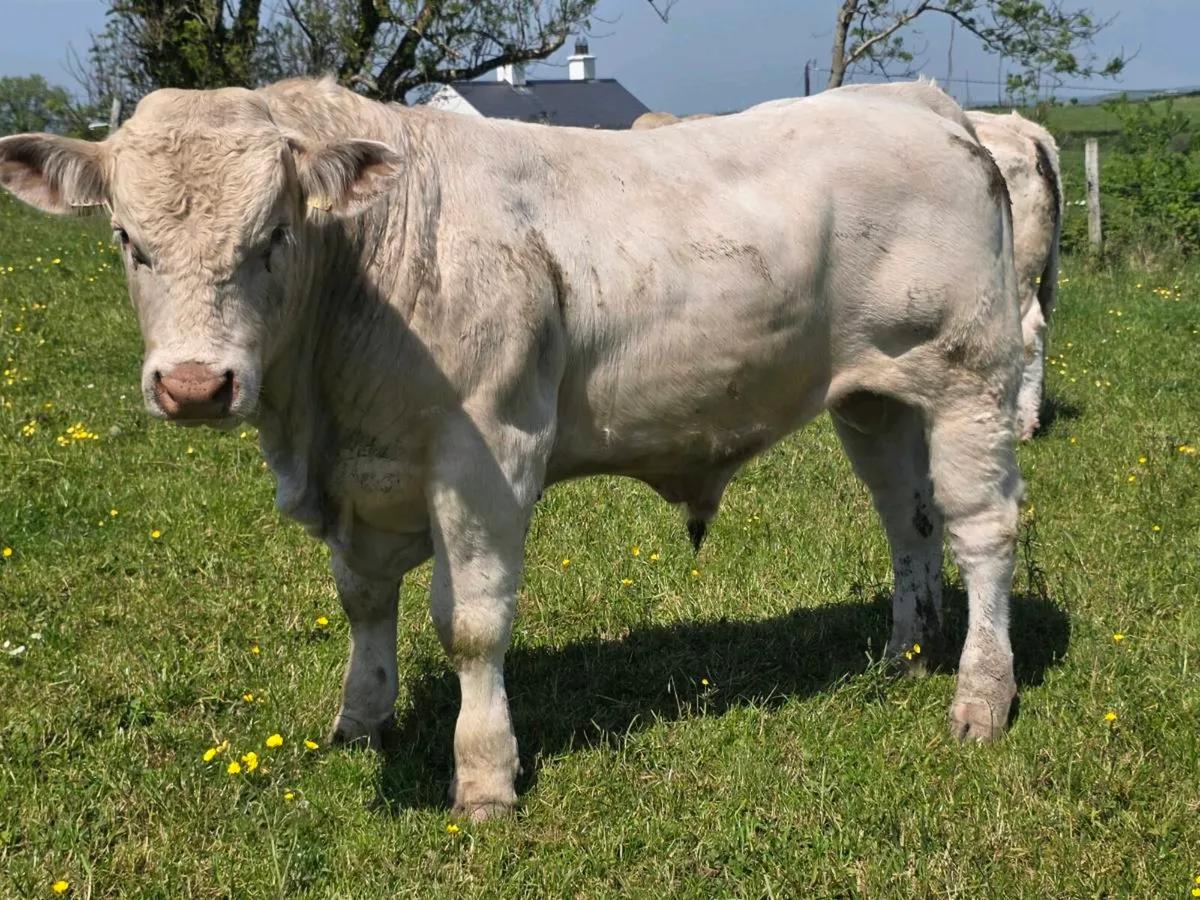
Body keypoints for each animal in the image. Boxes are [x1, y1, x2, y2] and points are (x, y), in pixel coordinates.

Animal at [0, 75, 1024, 821]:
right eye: (128, 240)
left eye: (274, 234)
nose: (194, 386)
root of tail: (920, 102)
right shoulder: (361, 478)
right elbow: (363, 601)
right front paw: (362, 719)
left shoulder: (485, 454)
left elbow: (472, 624)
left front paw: (486, 778)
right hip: (875, 400)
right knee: (908, 521)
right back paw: (902, 655)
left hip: (971, 377)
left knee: (981, 532)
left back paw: (980, 697)